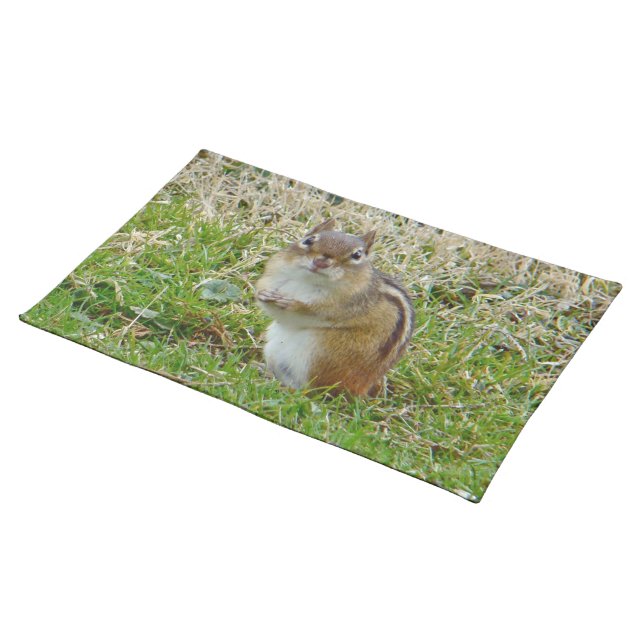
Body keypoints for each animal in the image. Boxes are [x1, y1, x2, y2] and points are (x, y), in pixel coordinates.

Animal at [255, 218, 414, 396]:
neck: (308, 281)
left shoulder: (344, 306)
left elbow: (309, 313)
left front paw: (294, 305)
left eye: (357, 255)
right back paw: (264, 371)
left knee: (310, 392)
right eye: (308, 240)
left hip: (319, 357)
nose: (321, 262)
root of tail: (360, 389)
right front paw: (264, 295)